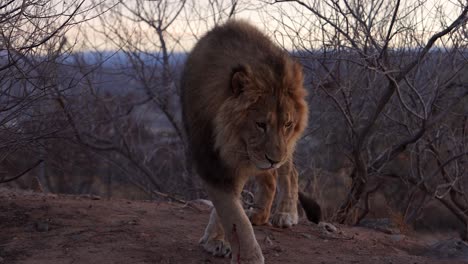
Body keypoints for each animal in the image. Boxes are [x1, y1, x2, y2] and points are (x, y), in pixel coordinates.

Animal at [183, 19, 314, 262]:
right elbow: (232, 213)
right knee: (270, 178)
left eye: (287, 124)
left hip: (283, 151)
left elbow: (231, 212)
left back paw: (285, 213)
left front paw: (240, 252)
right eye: (260, 124)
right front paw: (218, 242)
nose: (274, 160)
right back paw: (260, 214)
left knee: (289, 172)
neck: (228, 138)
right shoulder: (213, 161)